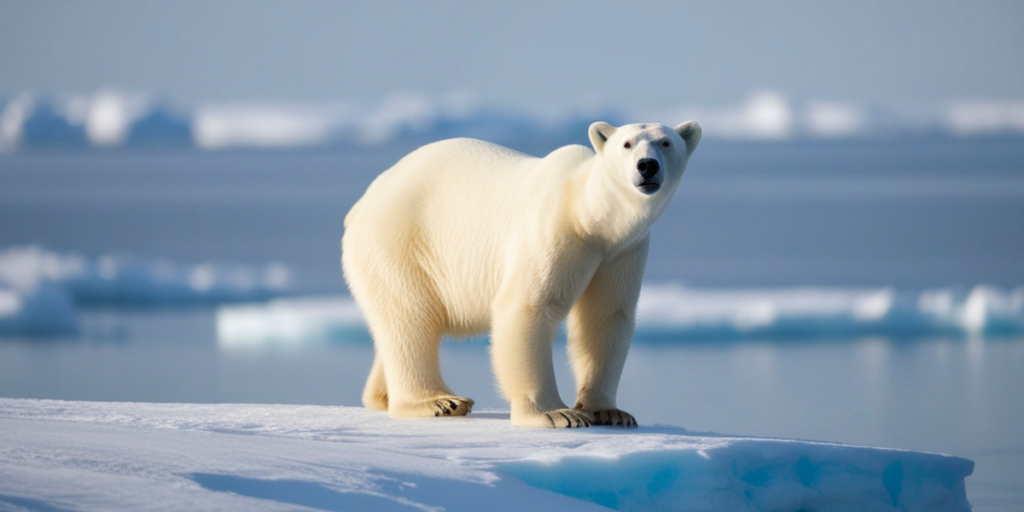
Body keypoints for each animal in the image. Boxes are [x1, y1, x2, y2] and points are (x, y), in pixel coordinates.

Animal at [342, 121, 701, 428]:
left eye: (666, 142)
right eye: (626, 144)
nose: (647, 166)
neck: (591, 216)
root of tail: (359, 205)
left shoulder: (623, 251)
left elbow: (606, 317)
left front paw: (611, 412)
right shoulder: (556, 229)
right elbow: (529, 306)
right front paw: (557, 413)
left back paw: (383, 396)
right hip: (400, 242)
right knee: (411, 317)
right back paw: (439, 401)